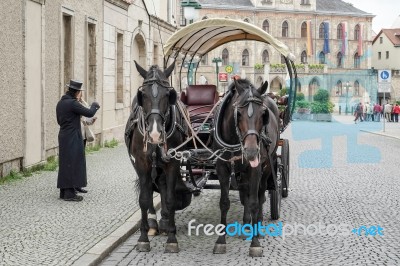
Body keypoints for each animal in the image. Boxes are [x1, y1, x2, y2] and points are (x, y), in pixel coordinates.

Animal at [126, 60, 191, 254]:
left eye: (167, 94)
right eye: (143, 95)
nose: (155, 134)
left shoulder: (172, 163)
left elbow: (170, 198)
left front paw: (172, 238)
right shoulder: (141, 163)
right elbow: (144, 198)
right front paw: (143, 238)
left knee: (162, 186)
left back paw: (164, 222)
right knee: (150, 188)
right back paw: (154, 224)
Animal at [212, 79, 282, 258]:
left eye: (263, 114)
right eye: (238, 114)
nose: (251, 151)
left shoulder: (255, 169)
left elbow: (254, 202)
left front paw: (255, 243)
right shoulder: (222, 168)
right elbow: (225, 202)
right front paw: (220, 241)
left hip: (267, 165)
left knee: (260, 194)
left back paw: (258, 228)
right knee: (245, 194)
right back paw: (245, 227)